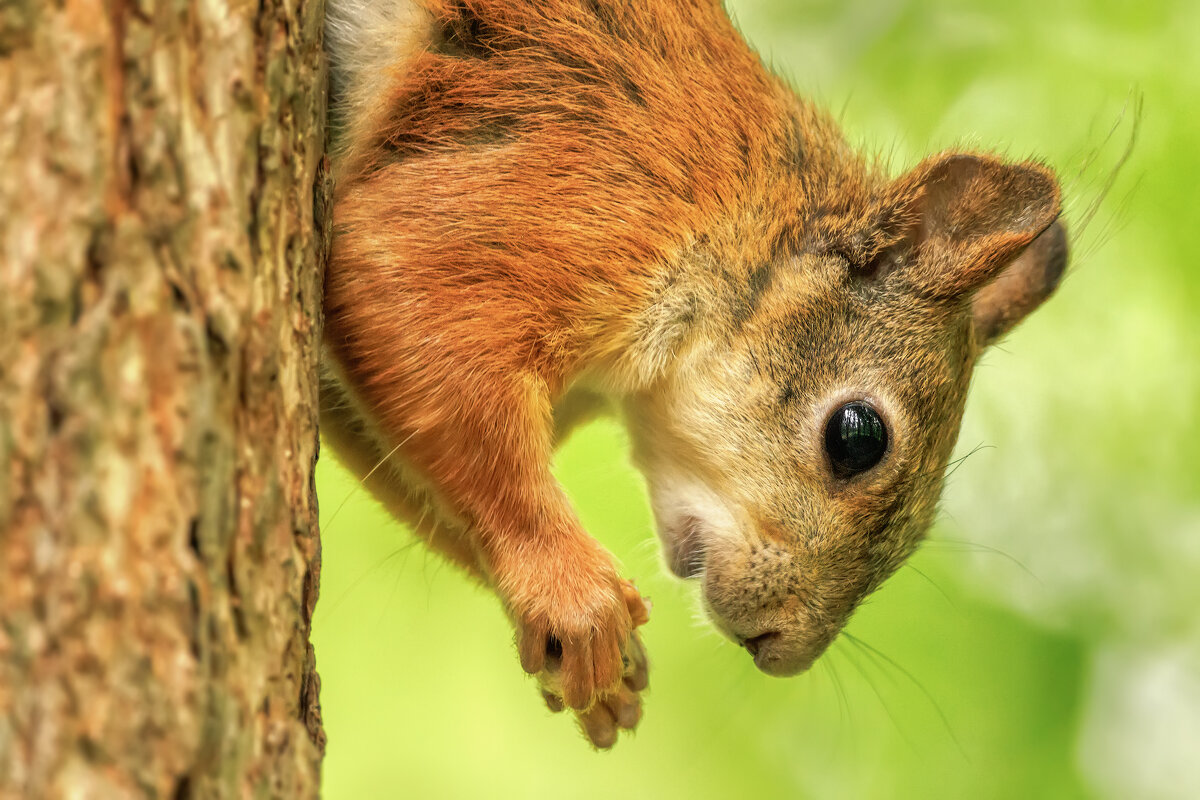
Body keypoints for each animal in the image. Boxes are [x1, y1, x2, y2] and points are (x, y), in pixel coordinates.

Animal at [320, 0, 1068, 749]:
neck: (753, 226)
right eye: (858, 436)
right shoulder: (593, 189)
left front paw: (611, 666)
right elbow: (400, 281)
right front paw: (574, 593)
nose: (781, 652)